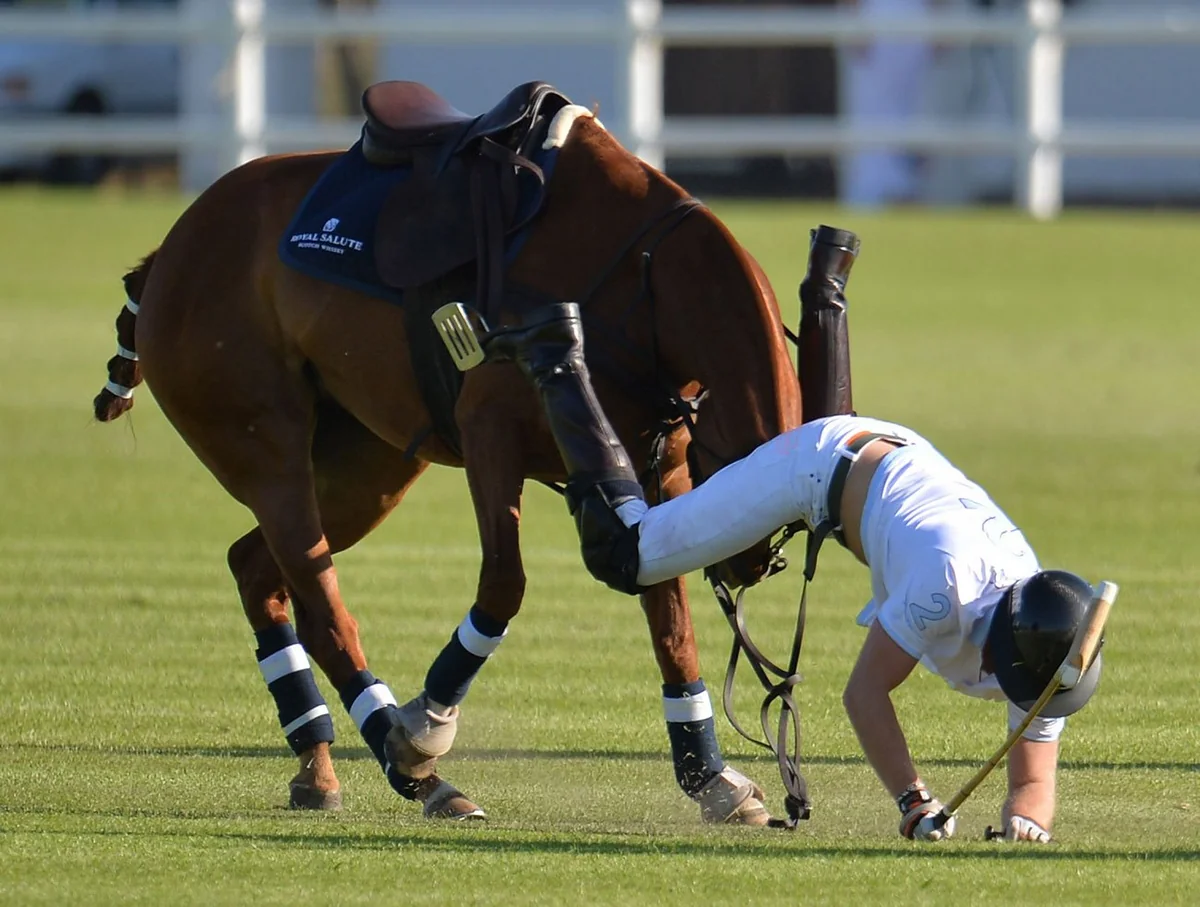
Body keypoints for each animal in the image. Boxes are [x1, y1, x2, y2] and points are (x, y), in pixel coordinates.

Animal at [92, 81, 803, 823]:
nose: (752, 566)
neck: (643, 280)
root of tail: (169, 249)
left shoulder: (657, 464)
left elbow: (668, 614)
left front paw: (708, 773)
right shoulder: (491, 433)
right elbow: (505, 584)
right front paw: (426, 724)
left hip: (368, 467)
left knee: (260, 571)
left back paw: (321, 763)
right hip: (265, 444)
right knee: (320, 601)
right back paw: (409, 761)